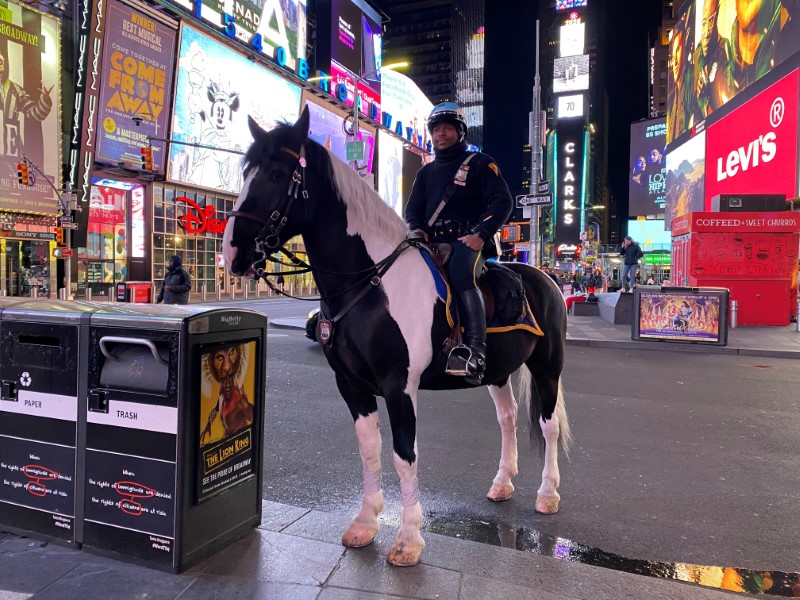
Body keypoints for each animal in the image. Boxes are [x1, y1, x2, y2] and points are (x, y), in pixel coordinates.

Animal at [220, 109, 568, 568]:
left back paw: (547, 494)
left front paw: (408, 540)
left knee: (548, 426)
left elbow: (405, 455)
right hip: (496, 371)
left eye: (277, 173)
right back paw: (502, 483)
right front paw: (366, 523)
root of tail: (544, 278)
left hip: (547, 366)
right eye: (245, 172)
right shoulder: (352, 386)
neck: (371, 283)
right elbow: (370, 450)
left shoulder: (399, 386)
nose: (232, 252)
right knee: (508, 419)